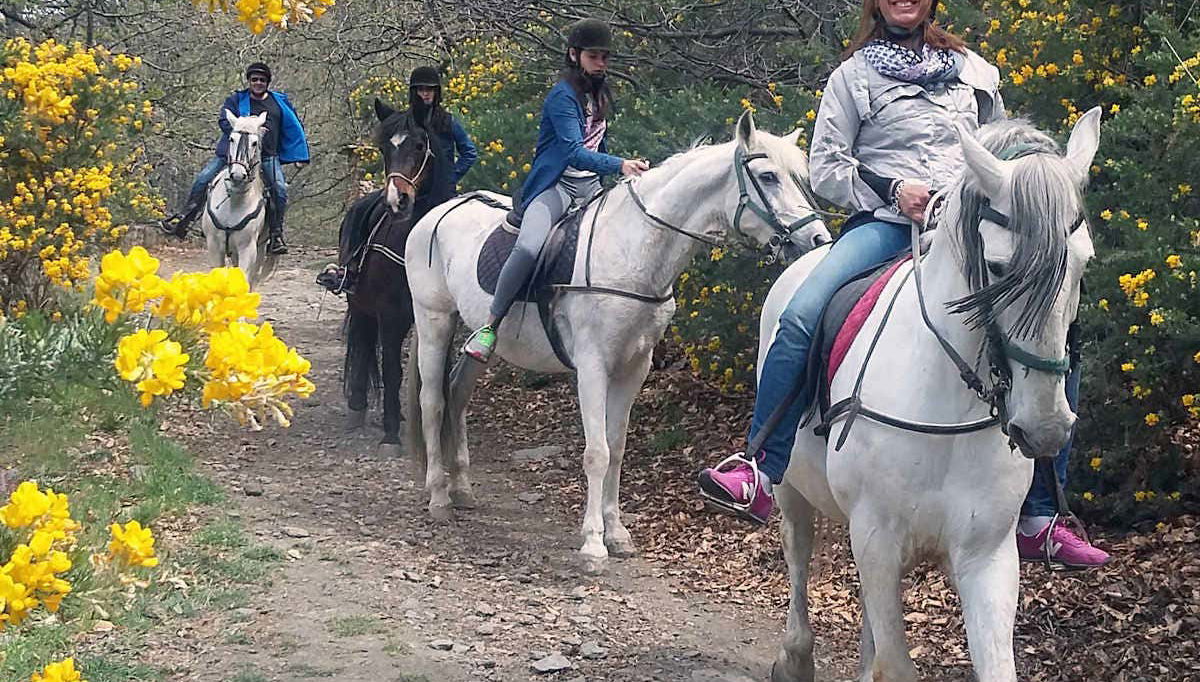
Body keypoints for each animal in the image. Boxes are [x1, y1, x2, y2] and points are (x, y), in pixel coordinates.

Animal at [200, 111, 276, 288]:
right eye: (231, 139)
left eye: (255, 143)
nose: (238, 175)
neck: (233, 202)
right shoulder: (214, 246)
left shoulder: (248, 249)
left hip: (260, 247)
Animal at [340, 100, 448, 451]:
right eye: (384, 148)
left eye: (419, 145)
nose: (396, 201)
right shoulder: (390, 316)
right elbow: (391, 369)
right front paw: (390, 434)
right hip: (360, 307)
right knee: (363, 345)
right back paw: (358, 408)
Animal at [404, 112, 833, 570]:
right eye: (768, 176)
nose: (818, 241)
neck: (633, 248)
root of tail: (436, 214)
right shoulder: (593, 366)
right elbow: (597, 452)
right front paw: (593, 544)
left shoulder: (634, 367)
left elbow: (617, 446)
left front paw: (617, 533)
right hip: (433, 322)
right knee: (433, 401)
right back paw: (439, 497)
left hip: (475, 340)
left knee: (457, 395)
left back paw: (462, 488)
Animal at [766, 109, 1102, 682]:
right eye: (999, 267)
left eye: (1083, 263)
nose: (1044, 429)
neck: (946, 406)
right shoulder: (876, 540)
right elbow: (895, 664)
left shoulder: (986, 555)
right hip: (792, 488)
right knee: (798, 549)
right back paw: (794, 655)